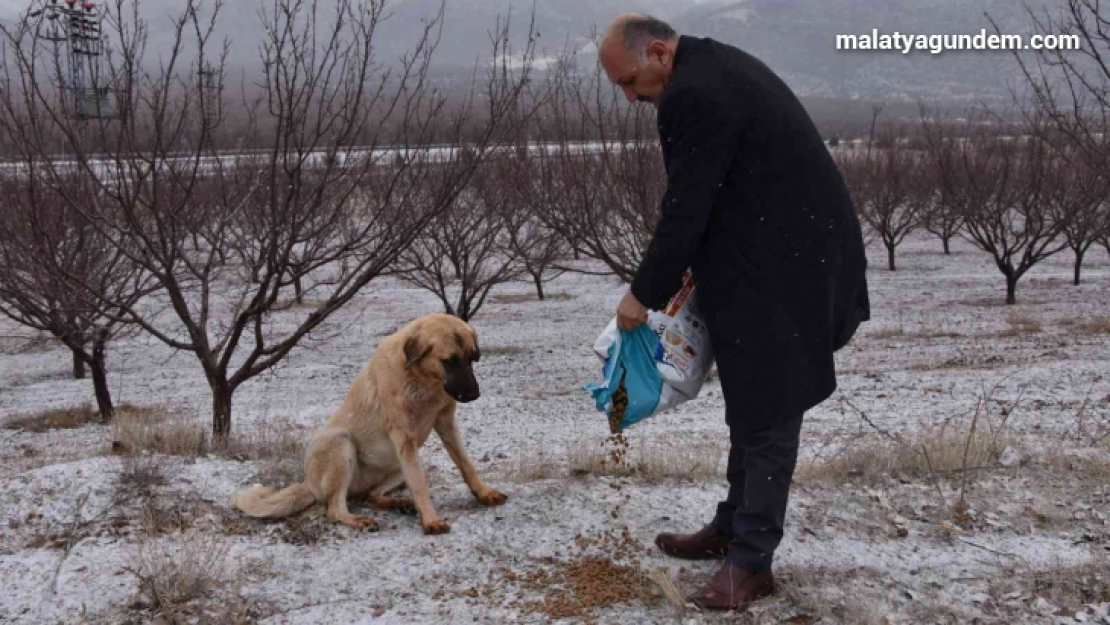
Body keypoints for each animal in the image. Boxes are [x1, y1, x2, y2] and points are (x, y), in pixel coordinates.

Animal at [236, 315, 508, 535]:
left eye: (472, 358)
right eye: (449, 361)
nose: (474, 394)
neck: (422, 379)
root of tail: (308, 484)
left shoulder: (445, 425)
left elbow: (466, 464)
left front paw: (484, 493)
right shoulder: (404, 439)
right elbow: (420, 485)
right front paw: (431, 521)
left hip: (400, 464)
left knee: (371, 495)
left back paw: (399, 503)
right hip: (341, 441)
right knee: (335, 509)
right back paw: (359, 519)